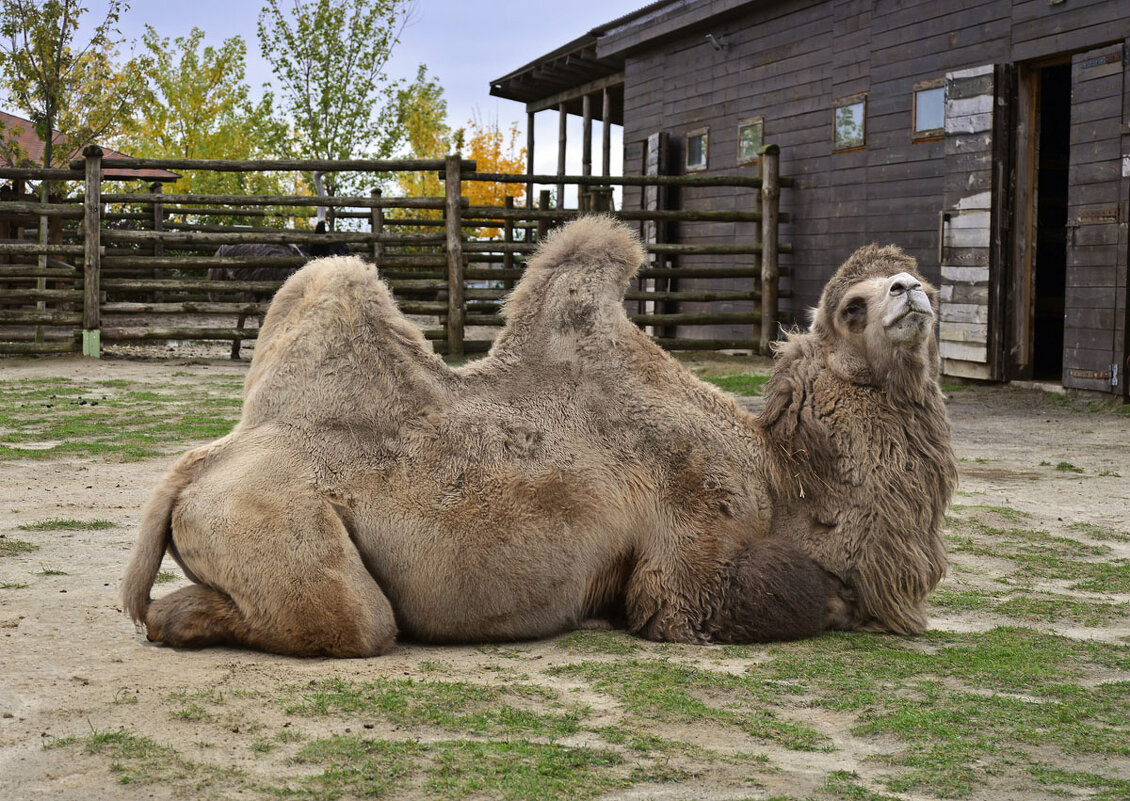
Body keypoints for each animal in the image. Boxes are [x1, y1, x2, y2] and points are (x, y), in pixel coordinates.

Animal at [121, 215, 953, 655]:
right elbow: (800, 593)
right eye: (851, 306)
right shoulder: (688, 561)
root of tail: (194, 468)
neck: (781, 478)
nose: (913, 293)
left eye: (916, 278)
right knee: (355, 620)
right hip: (272, 522)